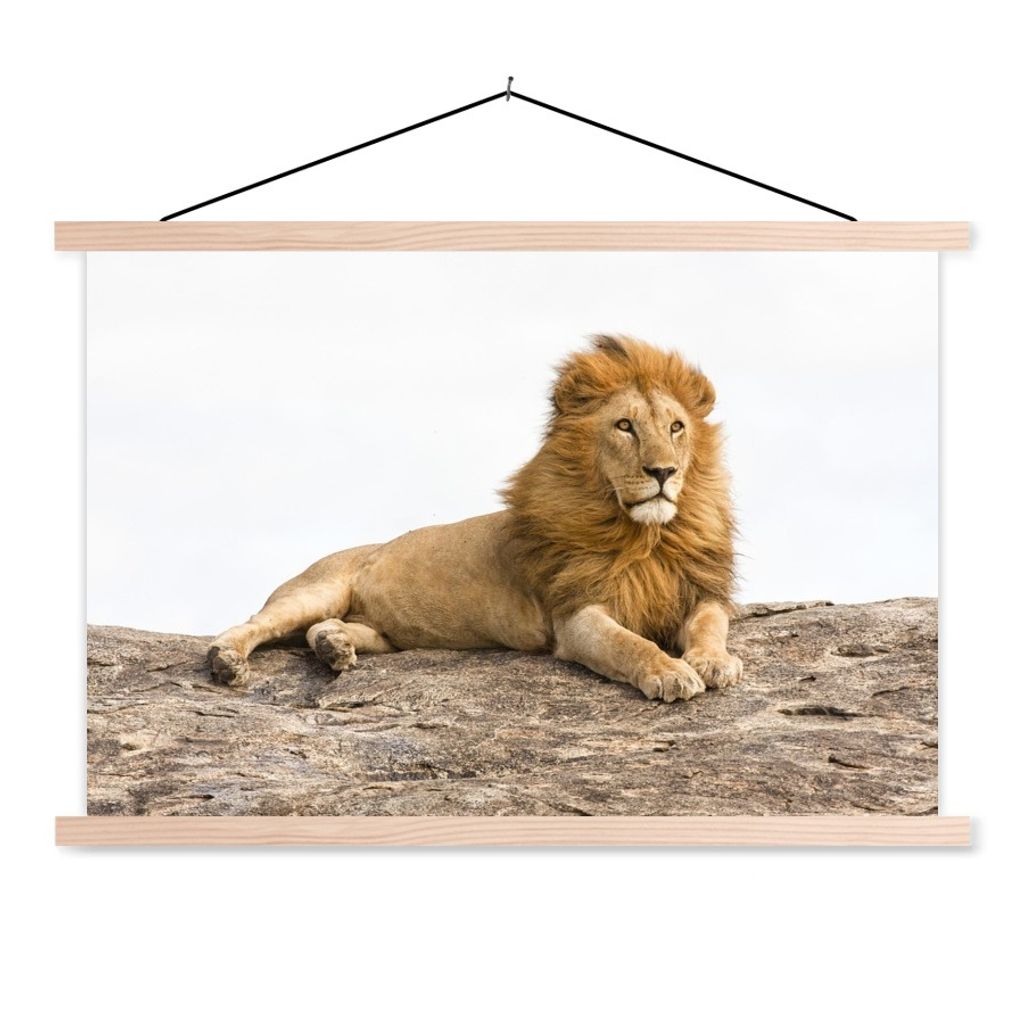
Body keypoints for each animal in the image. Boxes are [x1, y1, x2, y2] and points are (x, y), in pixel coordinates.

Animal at [208, 334, 741, 703]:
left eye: (676, 427)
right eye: (625, 426)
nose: (663, 472)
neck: (646, 536)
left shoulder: (698, 590)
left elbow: (711, 625)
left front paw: (715, 662)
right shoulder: (576, 614)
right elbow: (629, 644)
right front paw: (669, 671)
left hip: (383, 633)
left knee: (328, 628)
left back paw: (333, 647)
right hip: (316, 588)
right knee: (255, 622)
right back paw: (226, 660)